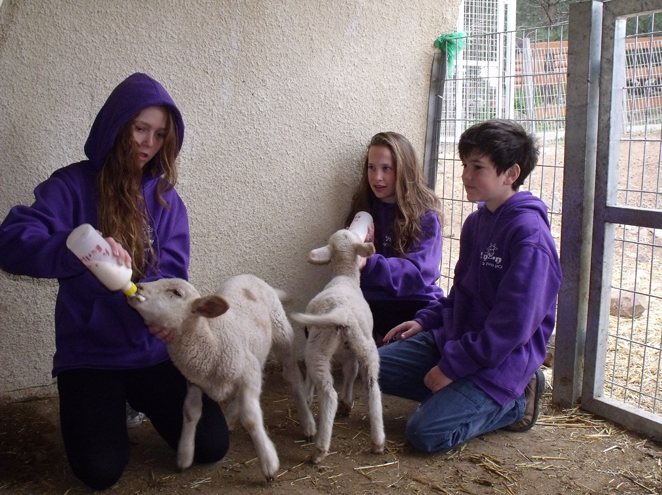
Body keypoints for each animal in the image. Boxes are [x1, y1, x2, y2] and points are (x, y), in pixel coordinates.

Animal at [131, 274, 318, 482]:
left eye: (176, 293)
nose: (138, 286)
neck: (212, 340)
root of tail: (252, 277)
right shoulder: (195, 382)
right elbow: (190, 412)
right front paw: (185, 455)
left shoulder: (248, 373)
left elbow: (251, 418)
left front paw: (268, 462)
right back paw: (230, 416)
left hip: (282, 335)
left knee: (294, 378)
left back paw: (308, 423)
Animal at [290, 229, 384, 464]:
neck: (345, 276)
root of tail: (343, 313)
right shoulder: (351, 354)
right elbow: (351, 373)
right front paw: (347, 403)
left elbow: (310, 379)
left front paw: (308, 396)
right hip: (367, 348)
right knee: (373, 388)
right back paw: (378, 441)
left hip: (317, 351)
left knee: (328, 393)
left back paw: (319, 450)